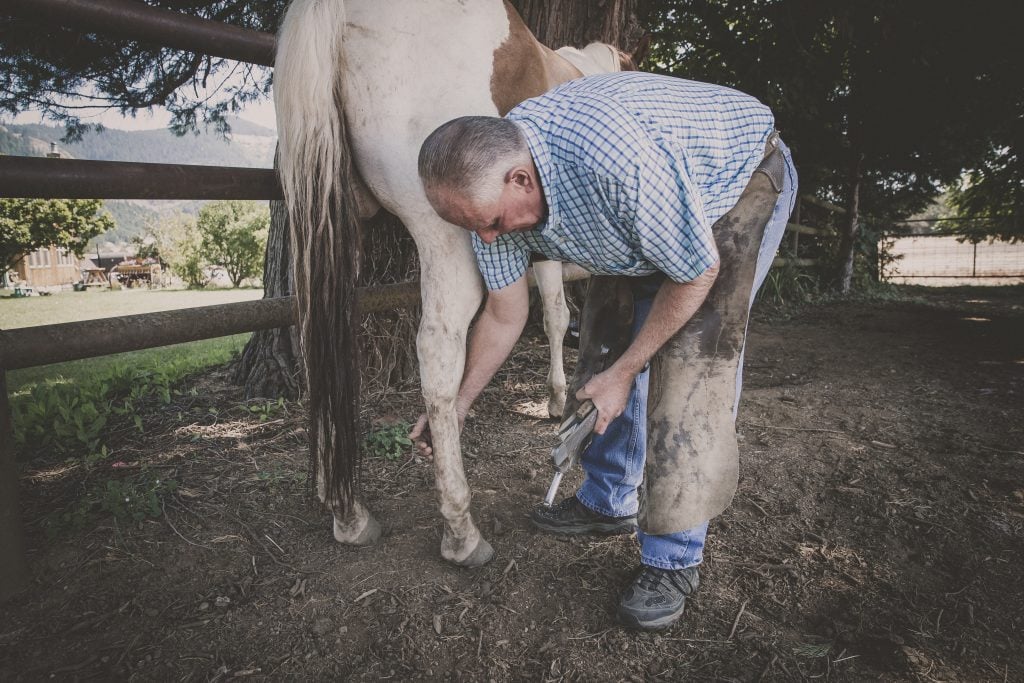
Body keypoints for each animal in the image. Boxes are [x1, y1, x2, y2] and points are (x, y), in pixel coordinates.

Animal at [276, 1, 626, 565]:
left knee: (320, 344)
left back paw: (349, 513)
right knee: (439, 350)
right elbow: (557, 315)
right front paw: (558, 398)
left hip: (326, 223)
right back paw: (461, 530)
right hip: (444, 236)